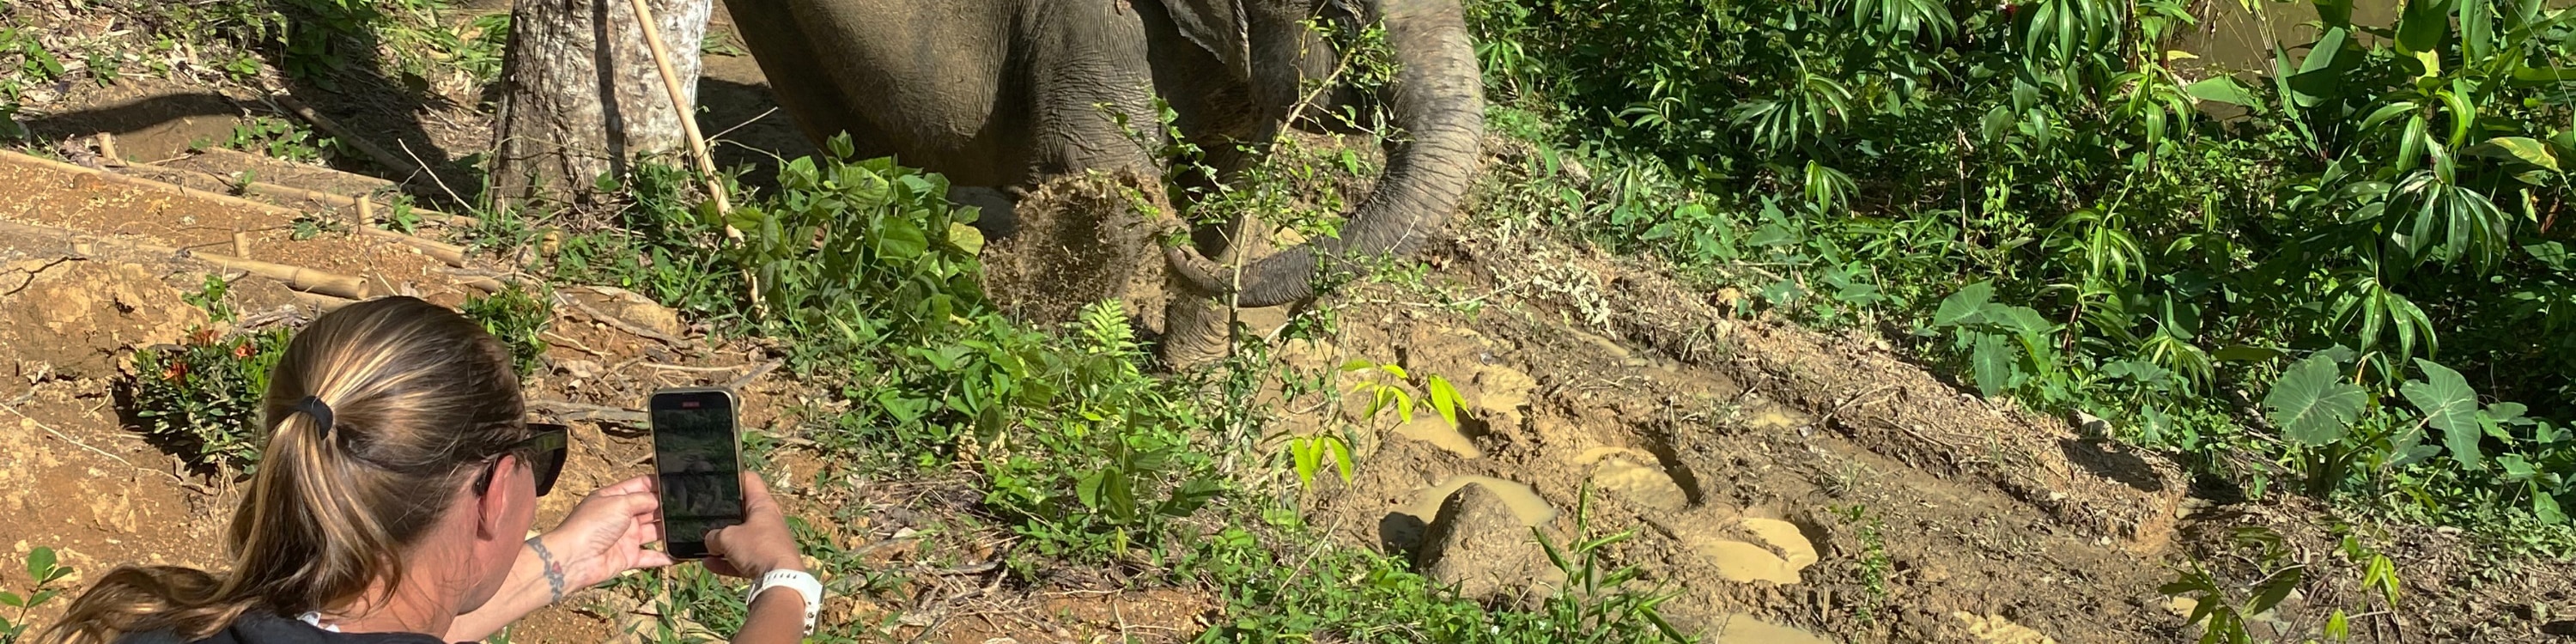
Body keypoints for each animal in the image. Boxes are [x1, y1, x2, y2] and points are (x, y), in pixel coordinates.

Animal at [726, 0, 1494, 358]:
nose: (1168, 225)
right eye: (1346, 13)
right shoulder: (1088, 26)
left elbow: (1233, 186)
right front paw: (1065, 363)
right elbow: (1098, 176)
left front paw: (1186, 377)